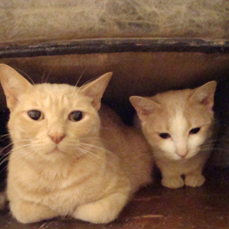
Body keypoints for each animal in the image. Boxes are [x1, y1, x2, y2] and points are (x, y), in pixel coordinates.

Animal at [0, 64, 154, 224]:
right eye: (35, 115)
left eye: (76, 116)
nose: (56, 135)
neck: (56, 174)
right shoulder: (17, 202)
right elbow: (27, 211)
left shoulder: (121, 189)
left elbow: (96, 211)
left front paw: (70, 210)